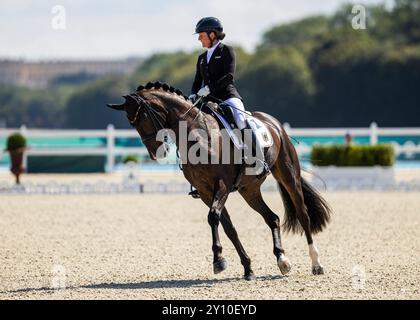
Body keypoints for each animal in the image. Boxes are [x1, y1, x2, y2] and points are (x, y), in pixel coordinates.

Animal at [106, 82, 330, 280]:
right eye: (131, 123)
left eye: (143, 117)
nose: (156, 153)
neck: (197, 135)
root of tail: (273, 123)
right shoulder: (205, 190)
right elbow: (228, 227)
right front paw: (247, 268)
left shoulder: (221, 185)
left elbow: (213, 217)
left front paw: (218, 260)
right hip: (249, 190)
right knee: (272, 218)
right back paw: (282, 260)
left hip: (288, 175)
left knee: (303, 214)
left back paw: (316, 264)